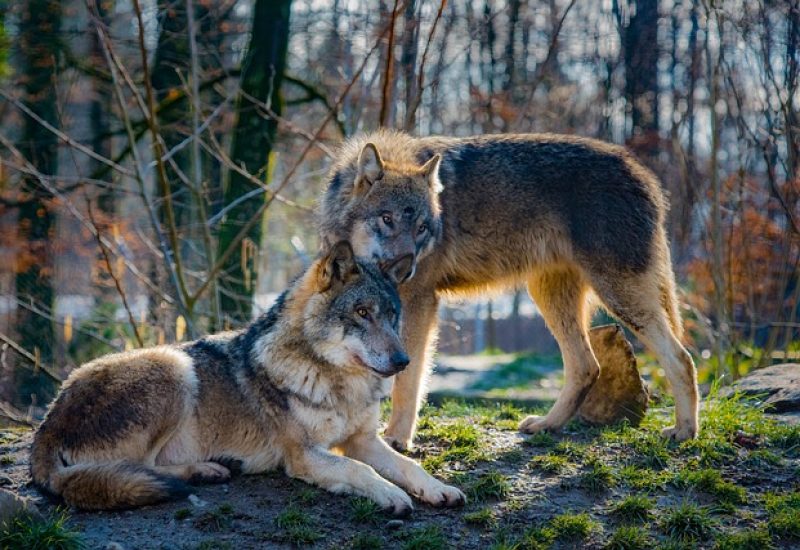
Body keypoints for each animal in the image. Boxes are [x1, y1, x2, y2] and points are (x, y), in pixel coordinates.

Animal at [31, 244, 466, 516]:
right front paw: (391, 494)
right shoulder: (304, 454)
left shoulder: (363, 440)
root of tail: (47, 424)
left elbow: (408, 465)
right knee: (139, 468)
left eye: (392, 315)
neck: (337, 382)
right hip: (173, 365)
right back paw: (205, 470)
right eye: (361, 312)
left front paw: (437, 488)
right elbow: (361, 471)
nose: (403, 361)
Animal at [320, 130, 700, 452]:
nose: (406, 268)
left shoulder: (419, 302)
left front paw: (397, 439)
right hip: (550, 297)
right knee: (586, 366)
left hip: (619, 297)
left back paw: (684, 431)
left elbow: (407, 380)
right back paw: (547, 425)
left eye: (422, 228)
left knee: (681, 358)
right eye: (387, 219)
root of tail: (644, 173)